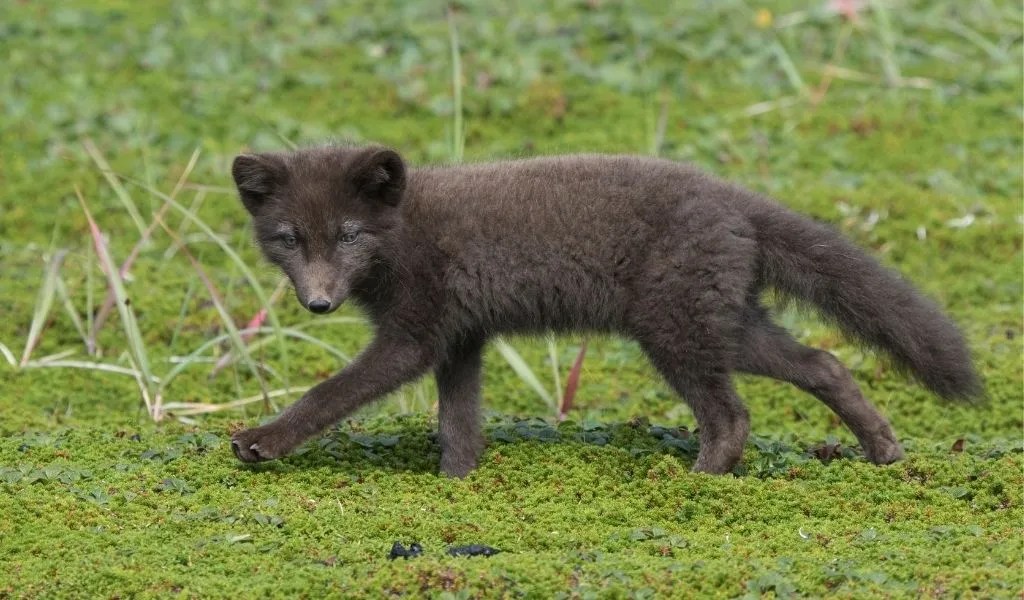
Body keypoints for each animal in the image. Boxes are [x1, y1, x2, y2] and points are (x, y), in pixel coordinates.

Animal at [229, 144, 980, 477]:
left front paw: (262, 440)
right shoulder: (461, 338)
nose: (319, 301)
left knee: (732, 414)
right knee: (825, 362)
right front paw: (457, 481)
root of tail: (735, 198)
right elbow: (458, 422)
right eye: (289, 238)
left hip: (676, 330)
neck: (402, 233)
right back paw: (883, 450)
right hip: (726, 322)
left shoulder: (415, 336)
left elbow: (331, 392)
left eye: (349, 235)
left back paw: (699, 482)